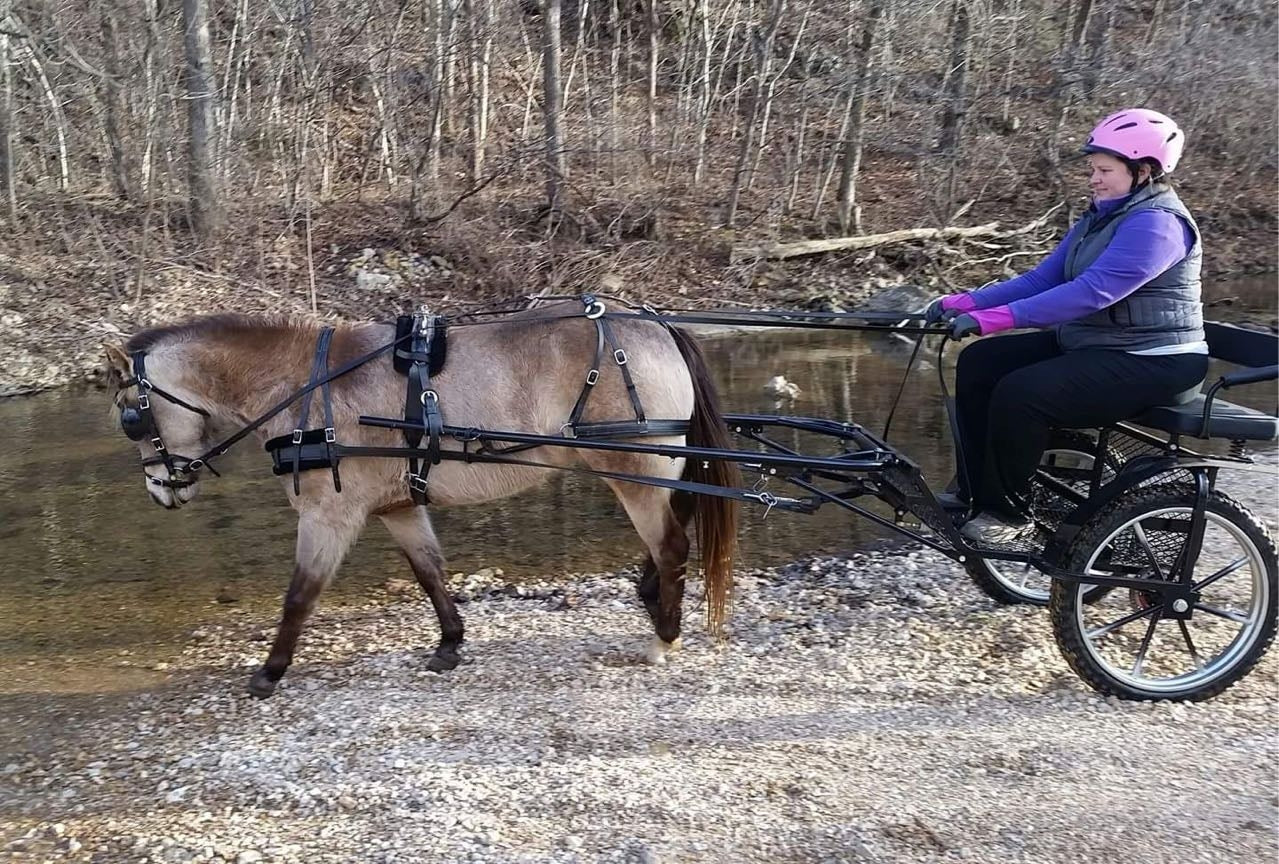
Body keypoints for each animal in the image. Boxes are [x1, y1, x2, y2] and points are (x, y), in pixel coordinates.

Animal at [102, 302, 740, 697]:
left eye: (131, 416)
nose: (161, 489)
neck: (305, 387)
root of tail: (661, 327)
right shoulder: (398, 506)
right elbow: (430, 572)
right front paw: (450, 644)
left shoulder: (328, 514)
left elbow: (300, 595)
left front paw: (270, 671)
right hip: (660, 472)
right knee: (675, 528)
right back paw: (651, 600)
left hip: (636, 474)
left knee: (672, 545)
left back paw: (662, 636)